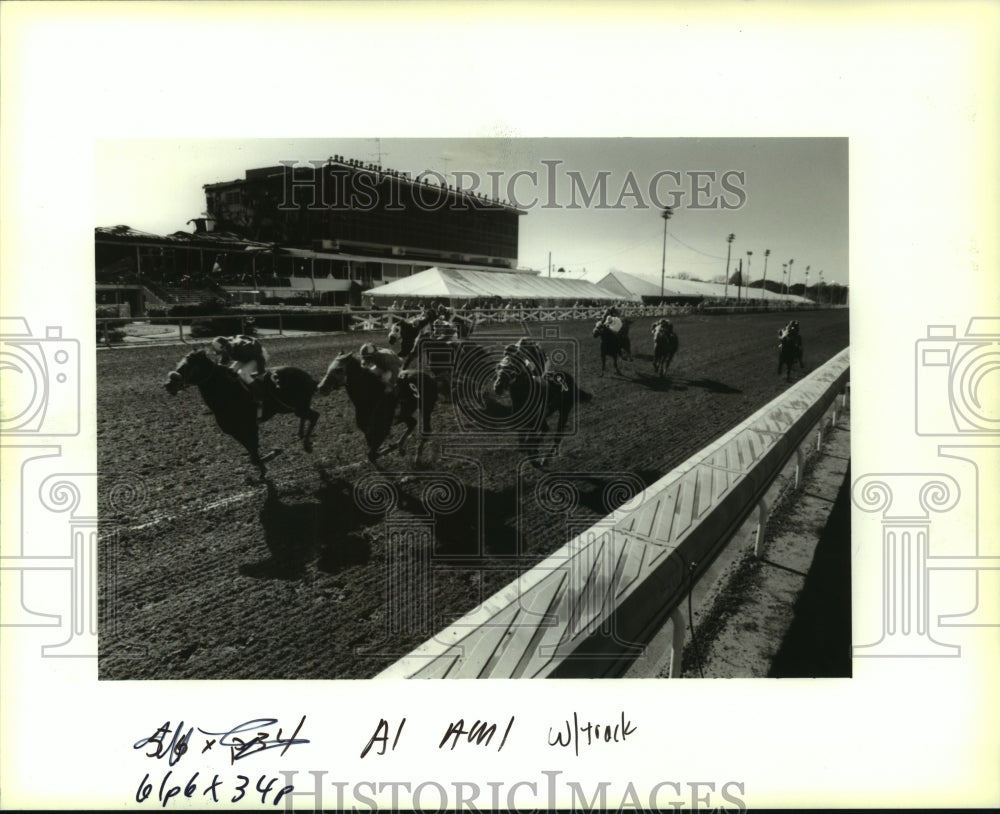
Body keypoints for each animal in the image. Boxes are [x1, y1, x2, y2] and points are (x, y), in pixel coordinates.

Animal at [164, 350, 318, 478]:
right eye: (179, 364)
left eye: (188, 366)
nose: (168, 384)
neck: (228, 394)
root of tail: (310, 378)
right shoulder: (235, 432)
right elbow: (252, 454)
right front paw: (263, 466)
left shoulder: (251, 427)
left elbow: (255, 453)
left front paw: (273, 454)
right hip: (289, 408)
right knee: (306, 416)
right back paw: (301, 434)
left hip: (296, 406)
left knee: (315, 415)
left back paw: (307, 444)